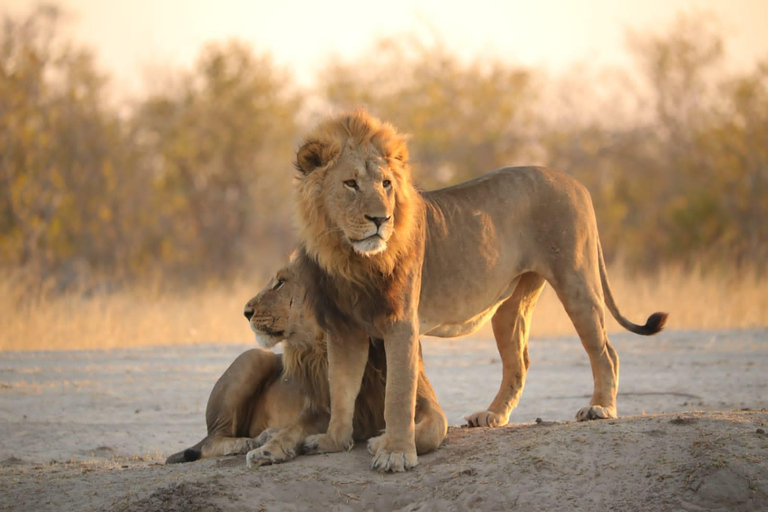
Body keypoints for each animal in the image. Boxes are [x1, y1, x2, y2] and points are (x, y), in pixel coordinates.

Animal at [165, 262, 448, 466]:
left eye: (281, 282)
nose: (245, 312)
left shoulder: (425, 402)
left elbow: (434, 427)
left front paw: (382, 443)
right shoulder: (321, 408)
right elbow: (294, 428)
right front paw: (268, 450)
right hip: (254, 357)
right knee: (211, 440)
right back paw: (251, 442)